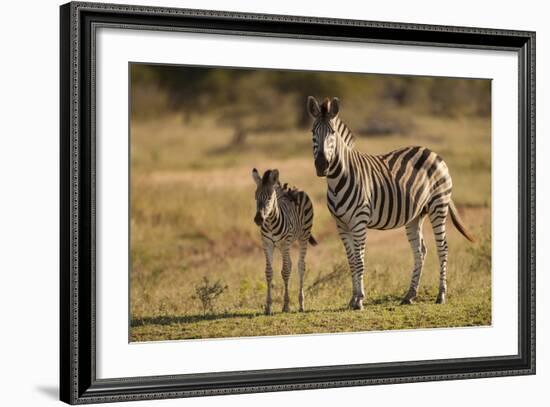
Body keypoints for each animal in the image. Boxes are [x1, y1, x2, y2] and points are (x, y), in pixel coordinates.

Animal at [251, 169, 316, 316]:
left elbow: (285, 271)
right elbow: (269, 272)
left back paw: (301, 304)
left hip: (302, 237)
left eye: (269, 198)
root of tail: (293, 188)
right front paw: (268, 307)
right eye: (255, 197)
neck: (269, 223)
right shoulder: (267, 244)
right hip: (283, 246)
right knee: (291, 264)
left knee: (300, 266)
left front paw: (286, 306)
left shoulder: (285, 243)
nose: (258, 219)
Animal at [308, 95, 476, 310]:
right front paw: (352, 299)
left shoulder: (360, 221)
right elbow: (351, 260)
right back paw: (409, 295)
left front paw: (360, 300)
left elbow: (360, 260)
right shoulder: (341, 225)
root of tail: (432, 152)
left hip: (439, 205)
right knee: (420, 251)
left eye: (333, 133)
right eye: (313, 132)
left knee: (442, 248)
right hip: (415, 215)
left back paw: (441, 295)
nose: (322, 166)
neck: (338, 181)